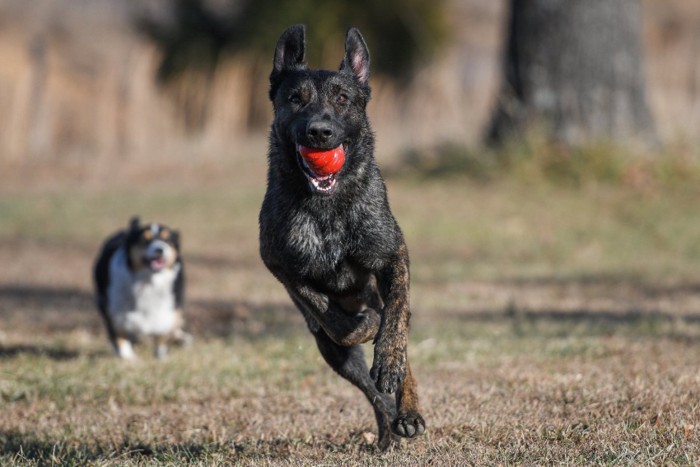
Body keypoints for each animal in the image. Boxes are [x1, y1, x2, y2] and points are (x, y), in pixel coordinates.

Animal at [95, 218, 191, 360]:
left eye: (167, 241)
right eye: (145, 240)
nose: (160, 249)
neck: (148, 282)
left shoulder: (167, 312)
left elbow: (162, 335)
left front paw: (161, 357)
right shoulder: (113, 312)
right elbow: (120, 338)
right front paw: (129, 359)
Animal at [258, 23, 422, 452]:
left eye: (343, 98)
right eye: (294, 99)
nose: (320, 131)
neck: (327, 208)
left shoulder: (392, 254)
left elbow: (395, 317)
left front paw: (388, 353)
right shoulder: (282, 267)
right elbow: (331, 317)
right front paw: (363, 325)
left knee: (398, 357)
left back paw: (408, 411)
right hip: (335, 356)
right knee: (371, 389)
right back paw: (388, 430)